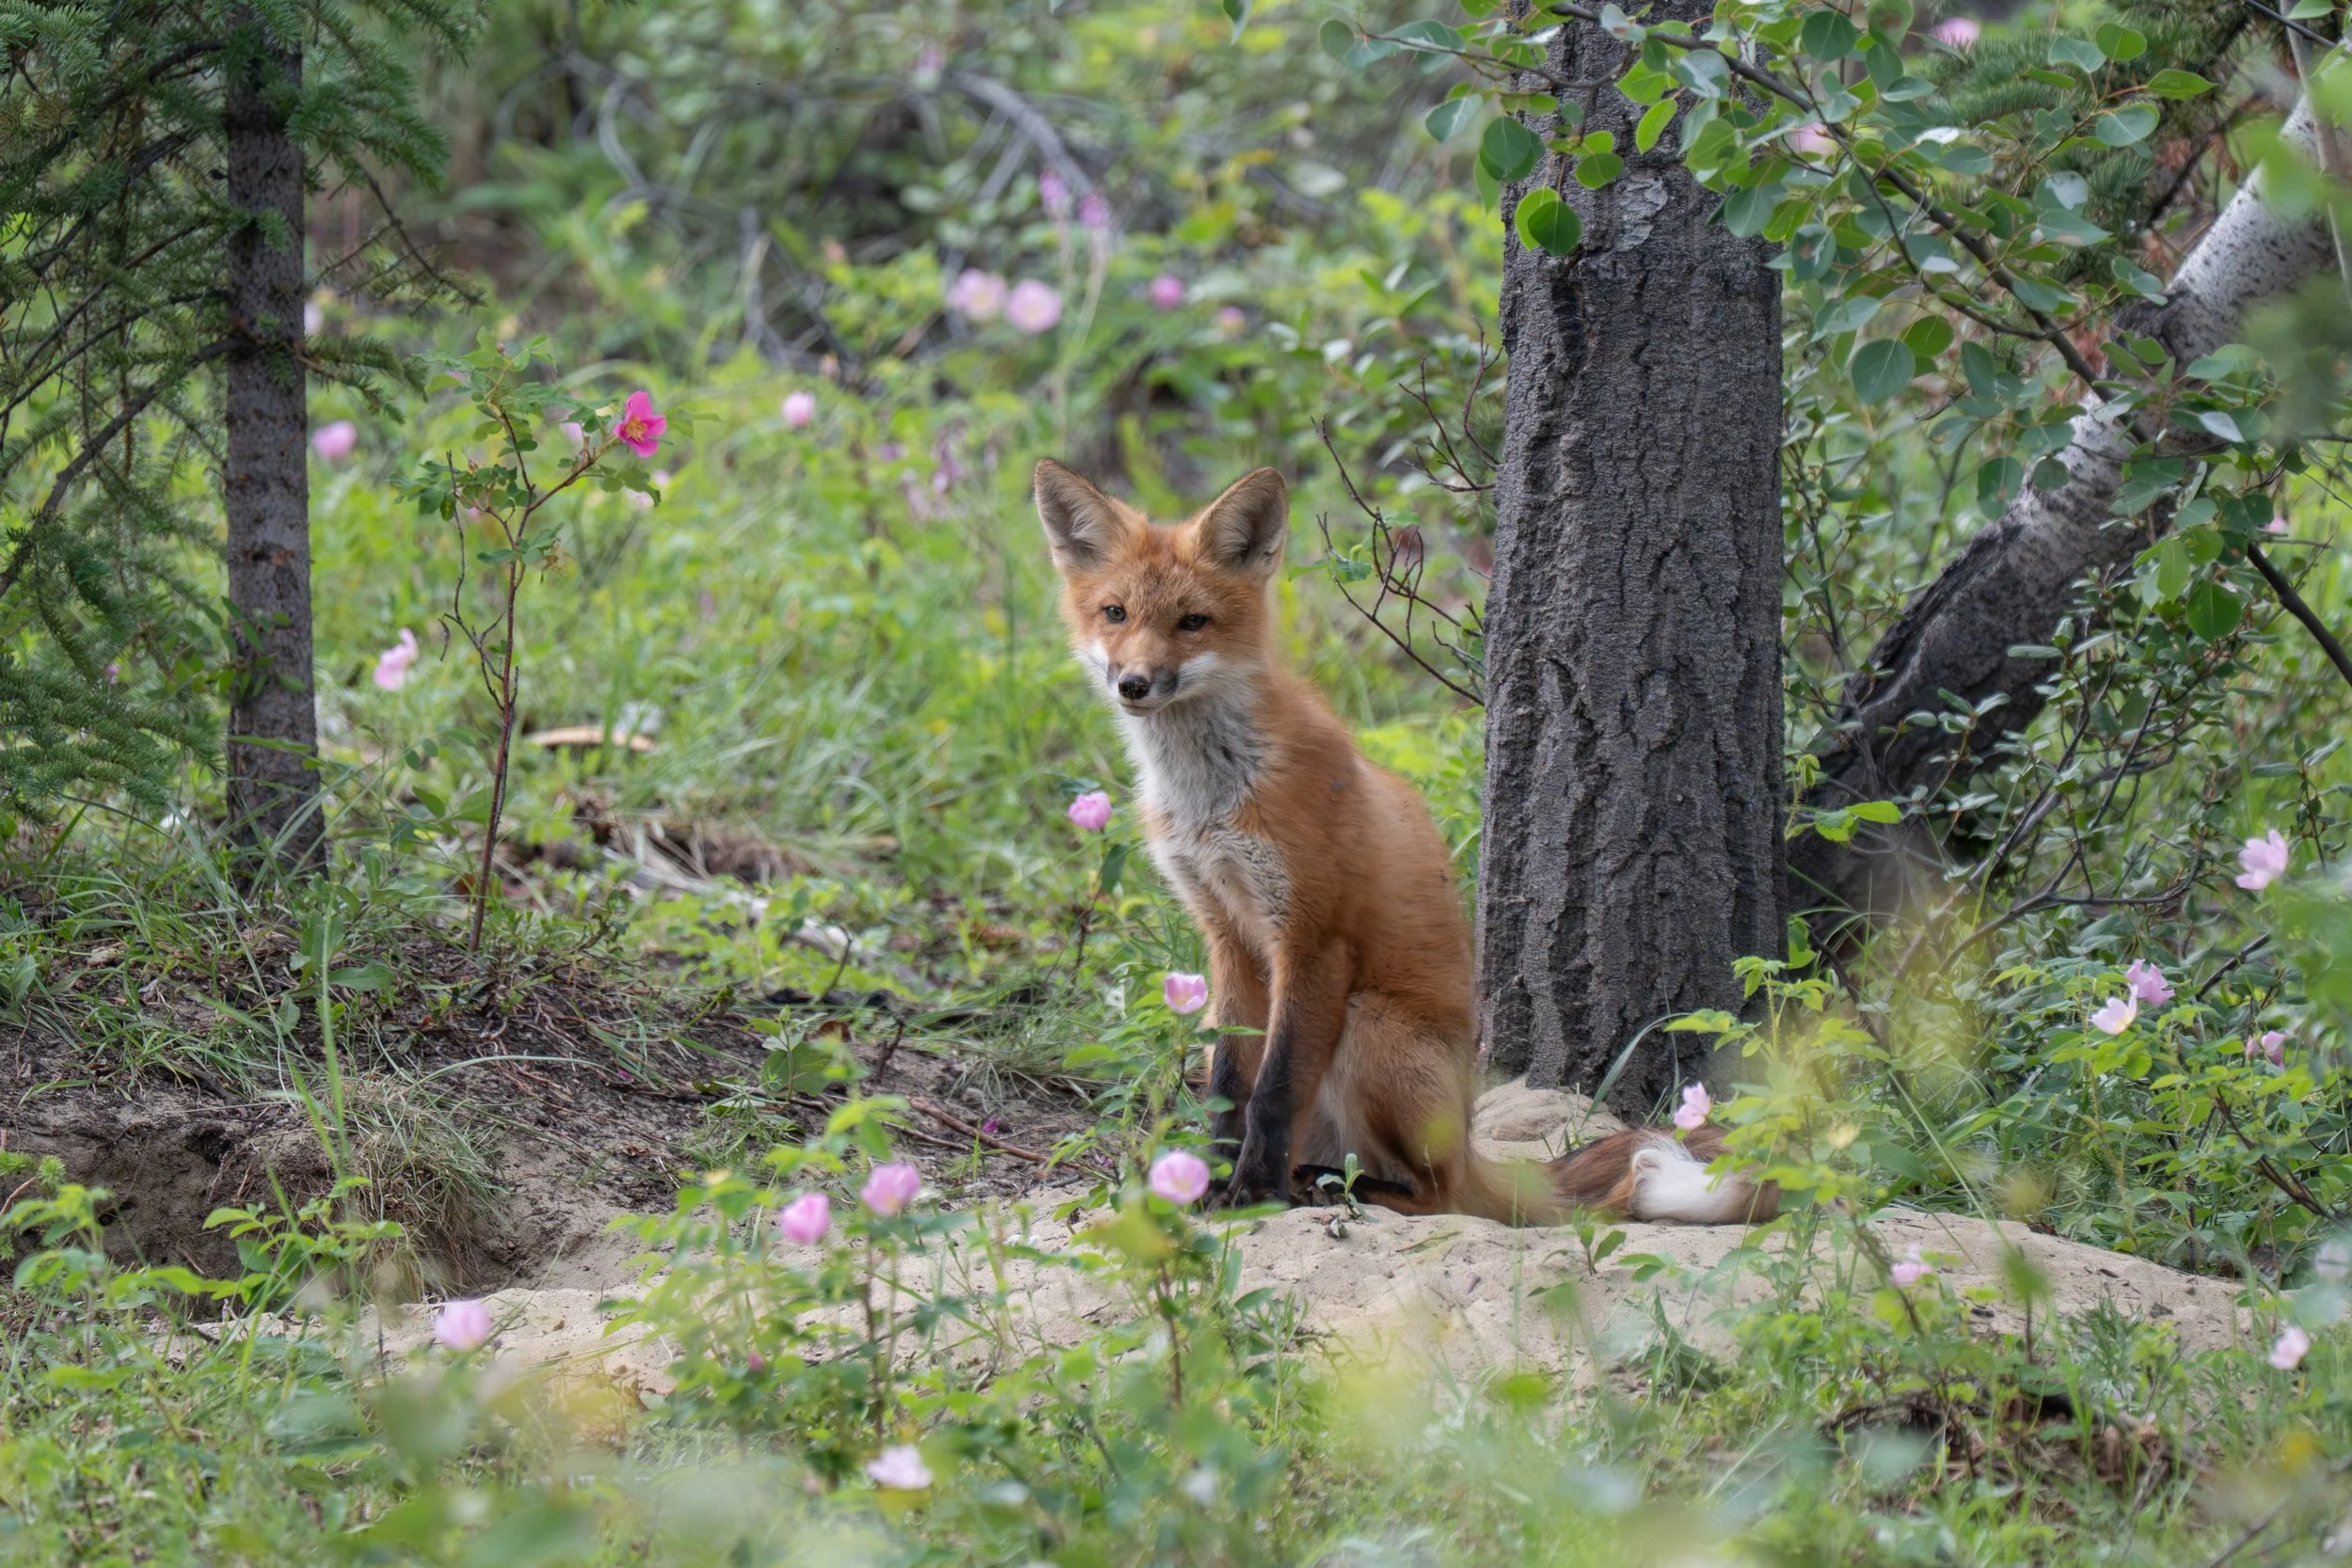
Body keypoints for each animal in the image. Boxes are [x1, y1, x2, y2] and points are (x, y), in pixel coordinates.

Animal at [1033, 459, 1775, 1225]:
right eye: (1115, 613)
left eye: (1192, 622)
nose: (1134, 684)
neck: (1210, 795)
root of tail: (1474, 1142)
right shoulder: (1228, 936)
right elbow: (1227, 1090)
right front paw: (1205, 1186)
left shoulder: (1314, 936)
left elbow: (1273, 1091)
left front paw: (1252, 1196)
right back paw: (1314, 1176)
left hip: (1368, 1024)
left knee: (1436, 1194)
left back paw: (1335, 1187)